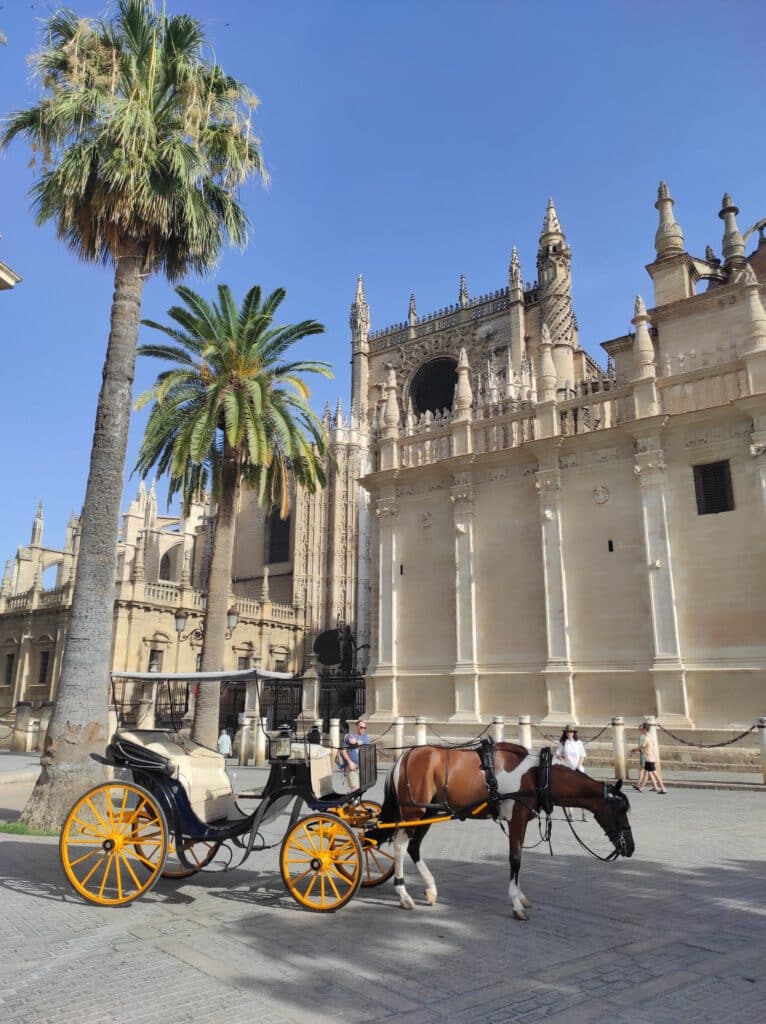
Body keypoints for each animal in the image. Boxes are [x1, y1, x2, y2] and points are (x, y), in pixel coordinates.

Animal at [368, 741, 630, 917]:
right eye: (621, 809)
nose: (630, 847)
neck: (538, 775)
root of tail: (404, 756)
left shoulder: (521, 821)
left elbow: (519, 857)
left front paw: (521, 896)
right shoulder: (516, 819)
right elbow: (515, 860)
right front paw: (516, 903)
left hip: (428, 812)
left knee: (414, 846)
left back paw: (430, 888)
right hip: (413, 812)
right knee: (400, 846)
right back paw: (403, 894)